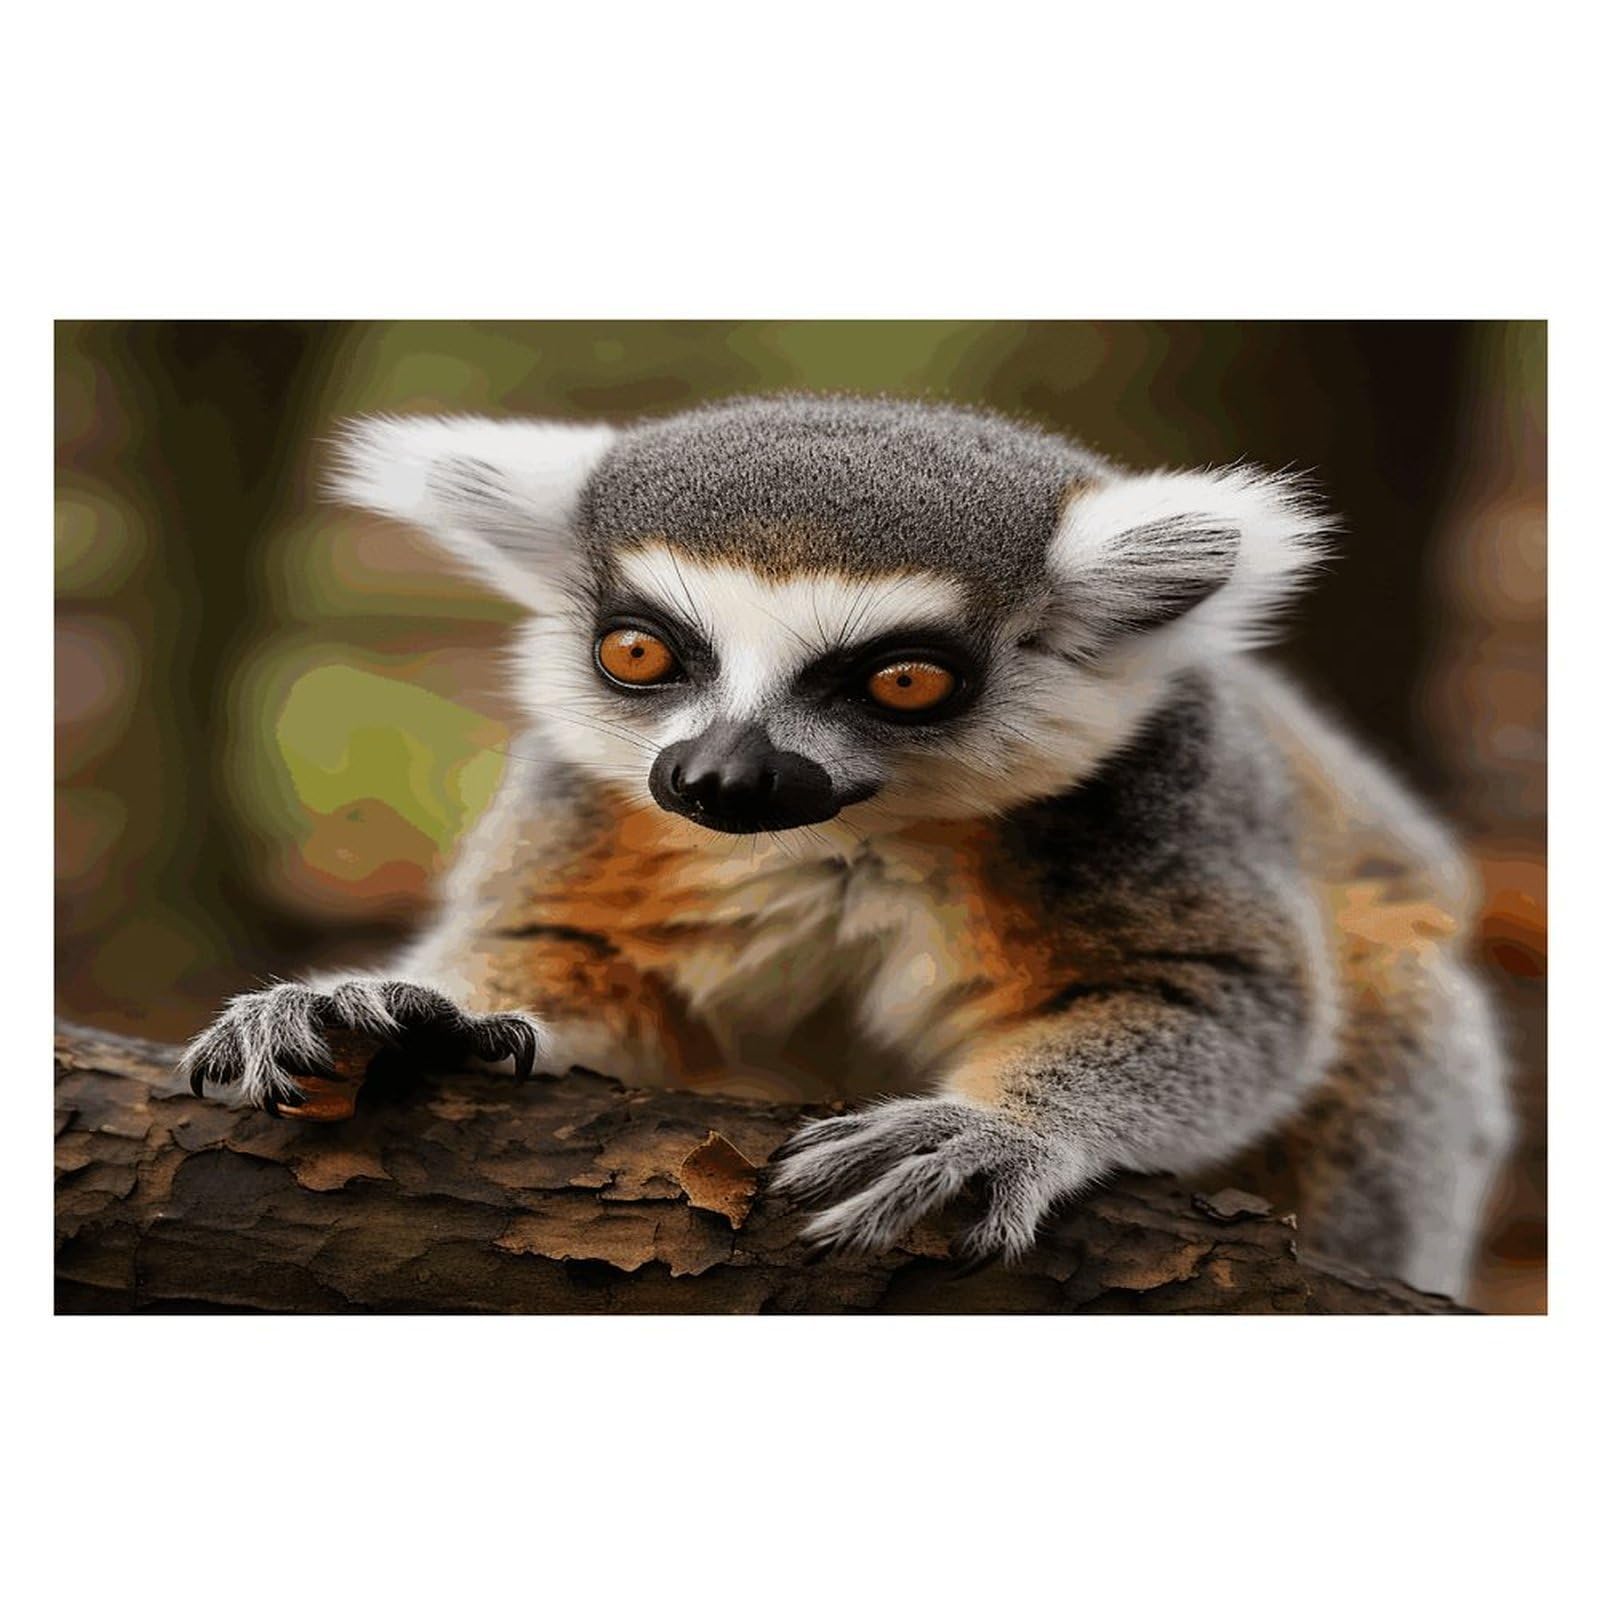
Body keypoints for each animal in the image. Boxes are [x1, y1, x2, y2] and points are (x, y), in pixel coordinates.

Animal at [180, 394, 1513, 1300]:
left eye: (905, 678)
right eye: (638, 652)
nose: (716, 782)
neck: (852, 835)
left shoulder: (1160, 784)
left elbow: (1224, 997)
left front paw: (994, 1127)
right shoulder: (593, 797)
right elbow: (568, 950)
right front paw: (412, 1009)